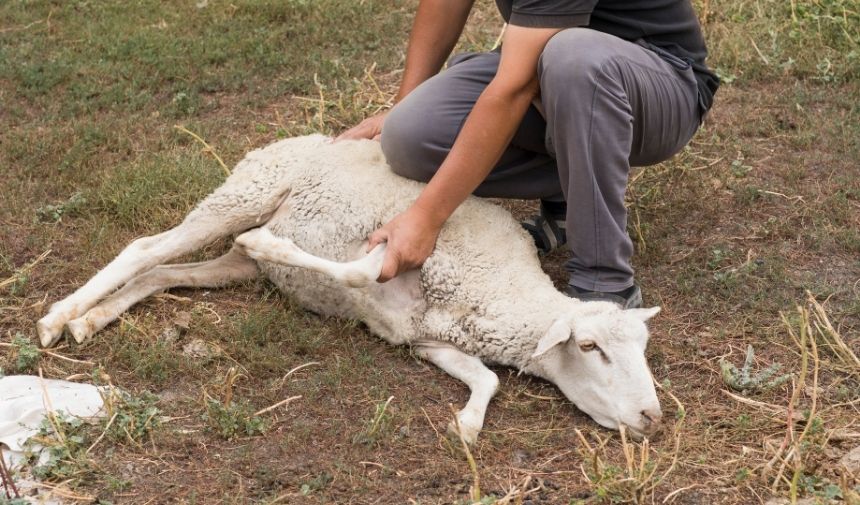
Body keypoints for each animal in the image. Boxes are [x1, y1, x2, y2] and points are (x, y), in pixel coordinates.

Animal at [37, 134, 660, 440]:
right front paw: (273, 244)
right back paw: (57, 318)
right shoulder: (392, 254)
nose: (653, 417)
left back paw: (89, 320)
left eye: (644, 349)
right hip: (242, 194)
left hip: (232, 260)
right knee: (146, 249)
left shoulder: (425, 337)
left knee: (162, 273)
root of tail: (294, 139)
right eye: (590, 347)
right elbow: (357, 272)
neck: (499, 287)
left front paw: (467, 425)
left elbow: (486, 379)